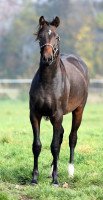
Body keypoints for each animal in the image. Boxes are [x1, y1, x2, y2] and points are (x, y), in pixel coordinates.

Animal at [29, 16, 89, 186]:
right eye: (40, 36)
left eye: (57, 37)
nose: (47, 58)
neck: (48, 82)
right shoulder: (35, 115)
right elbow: (37, 145)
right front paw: (34, 178)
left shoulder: (57, 115)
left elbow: (54, 146)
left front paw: (56, 180)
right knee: (61, 134)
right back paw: (50, 171)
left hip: (78, 111)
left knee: (72, 137)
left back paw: (70, 171)